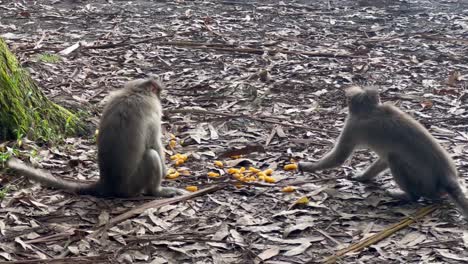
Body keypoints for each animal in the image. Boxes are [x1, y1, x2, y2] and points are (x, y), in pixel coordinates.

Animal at [6, 76, 186, 198]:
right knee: (151, 155)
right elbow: (154, 143)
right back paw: (155, 191)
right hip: (132, 185)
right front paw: (165, 172)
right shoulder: (153, 110)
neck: (135, 91)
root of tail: (107, 183)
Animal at [298, 85, 468, 218]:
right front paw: (363, 177)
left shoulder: (352, 125)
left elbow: (339, 157)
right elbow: (382, 160)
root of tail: (448, 176)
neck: (373, 109)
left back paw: (409, 196)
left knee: (395, 159)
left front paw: (307, 166)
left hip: (425, 183)